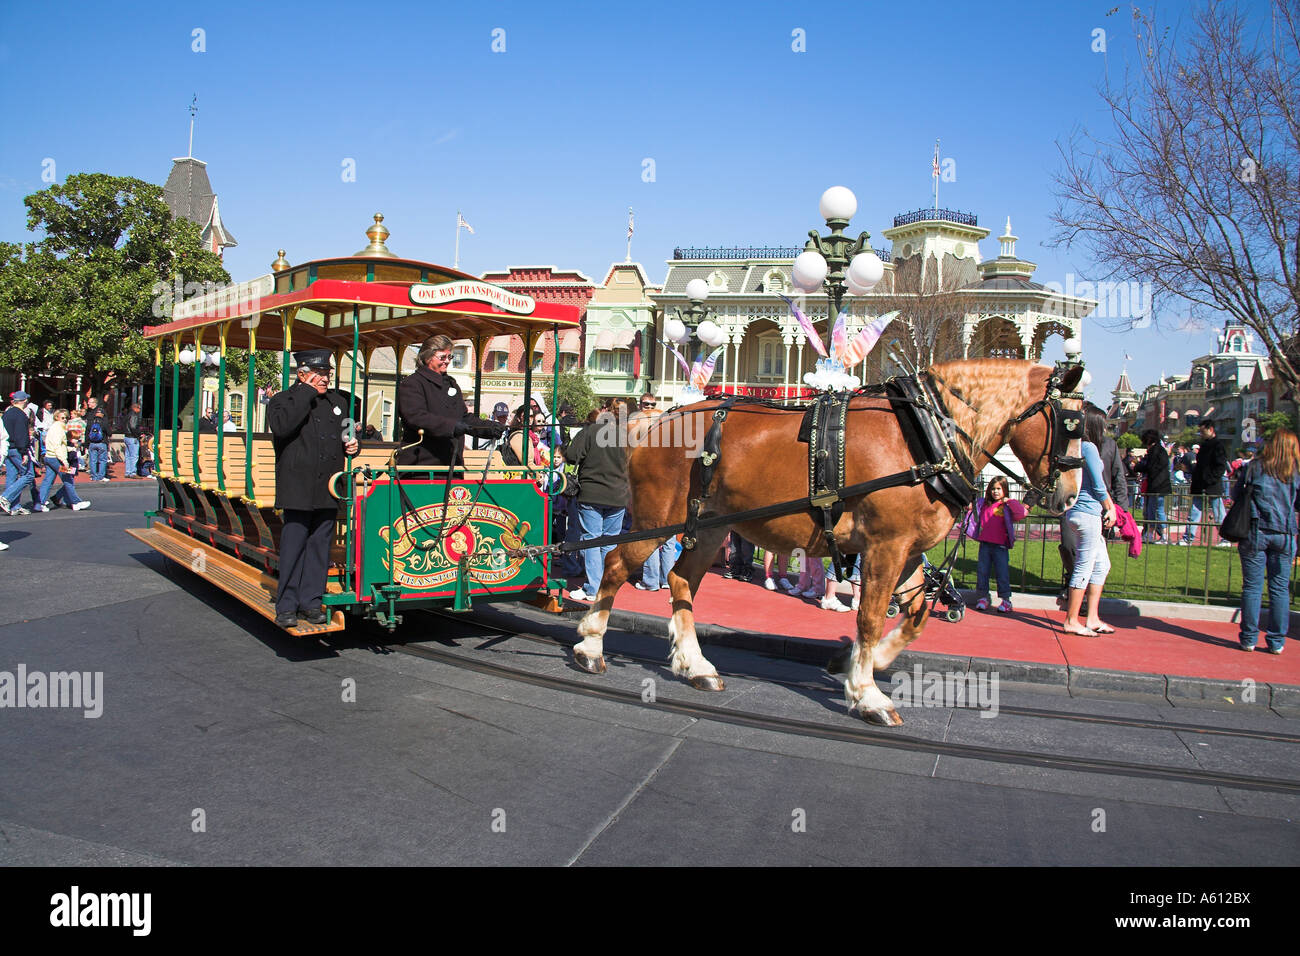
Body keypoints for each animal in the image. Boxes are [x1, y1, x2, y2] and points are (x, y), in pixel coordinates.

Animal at [572, 358, 1086, 723]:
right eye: (1073, 424)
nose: (1070, 495)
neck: (925, 437)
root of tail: (654, 422)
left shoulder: (909, 551)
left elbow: (916, 616)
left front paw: (851, 664)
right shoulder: (884, 546)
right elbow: (871, 617)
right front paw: (868, 695)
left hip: (712, 524)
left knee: (682, 581)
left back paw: (696, 666)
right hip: (658, 520)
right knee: (615, 566)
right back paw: (591, 647)